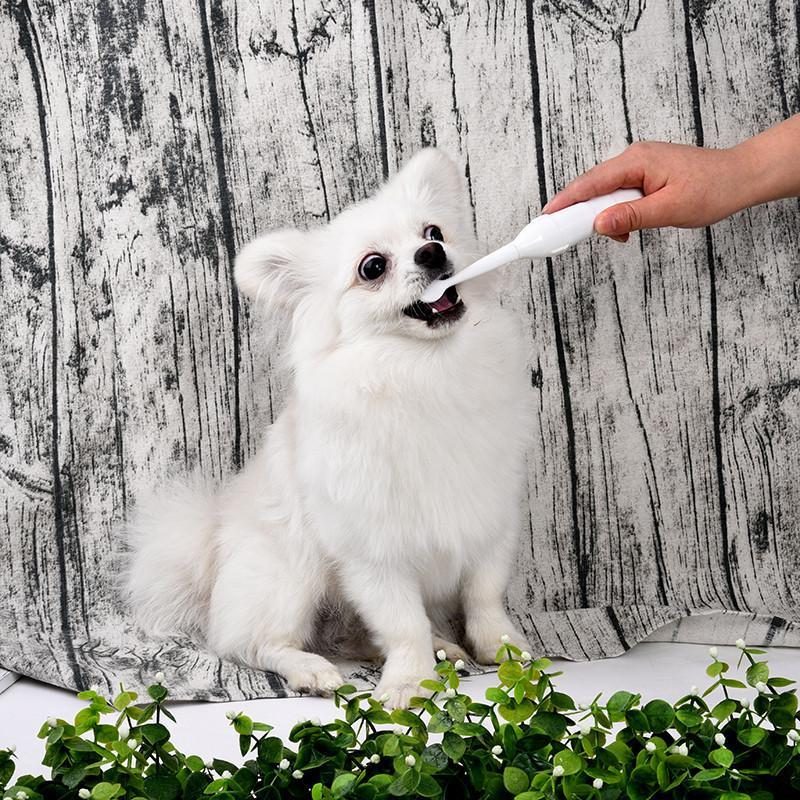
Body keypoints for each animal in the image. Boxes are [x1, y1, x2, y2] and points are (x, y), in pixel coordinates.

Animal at [125, 148, 532, 708]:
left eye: (434, 231)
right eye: (373, 267)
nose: (431, 253)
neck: (425, 370)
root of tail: (210, 544)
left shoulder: (490, 519)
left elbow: (483, 595)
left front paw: (502, 646)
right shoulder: (373, 551)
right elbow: (402, 623)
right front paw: (409, 681)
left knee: (358, 634)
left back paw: (444, 647)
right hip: (290, 577)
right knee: (255, 644)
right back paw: (312, 671)